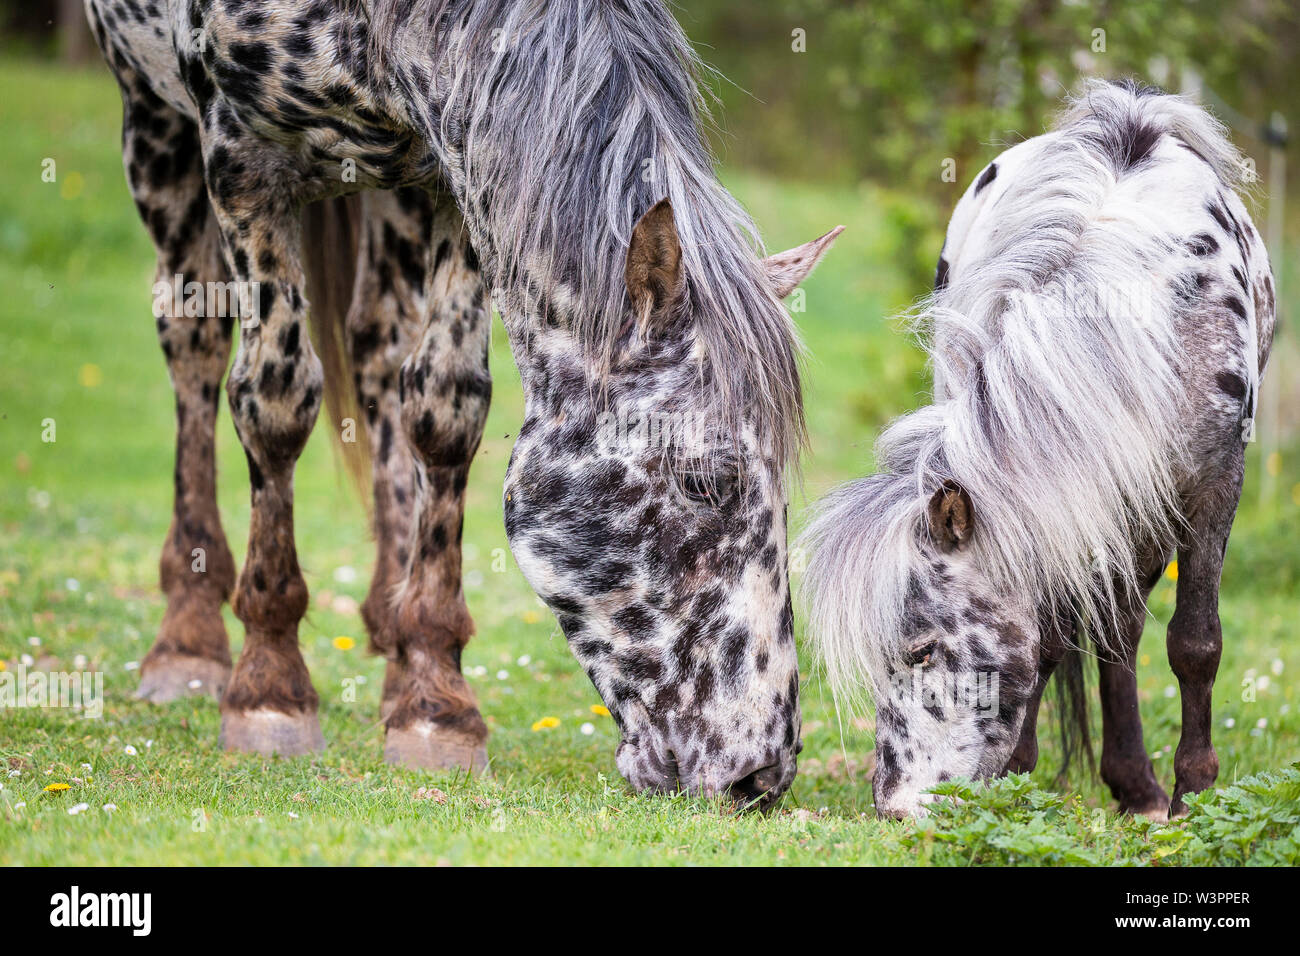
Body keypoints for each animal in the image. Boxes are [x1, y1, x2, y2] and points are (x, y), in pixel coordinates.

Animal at [91, 0, 842, 806]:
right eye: (706, 481)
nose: (763, 772)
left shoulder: (455, 177)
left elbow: (444, 407)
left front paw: (435, 700)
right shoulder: (242, 163)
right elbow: (277, 399)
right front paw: (269, 687)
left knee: (379, 345)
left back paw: (392, 648)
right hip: (151, 118)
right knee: (193, 342)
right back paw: (188, 639)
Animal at [806, 78, 1274, 816]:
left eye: (923, 650)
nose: (895, 807)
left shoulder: (1214, 483)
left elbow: (1194, 643)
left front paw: (1193, 794)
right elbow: (1053, 637)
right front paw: (1019, 778)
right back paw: (1129, 780)